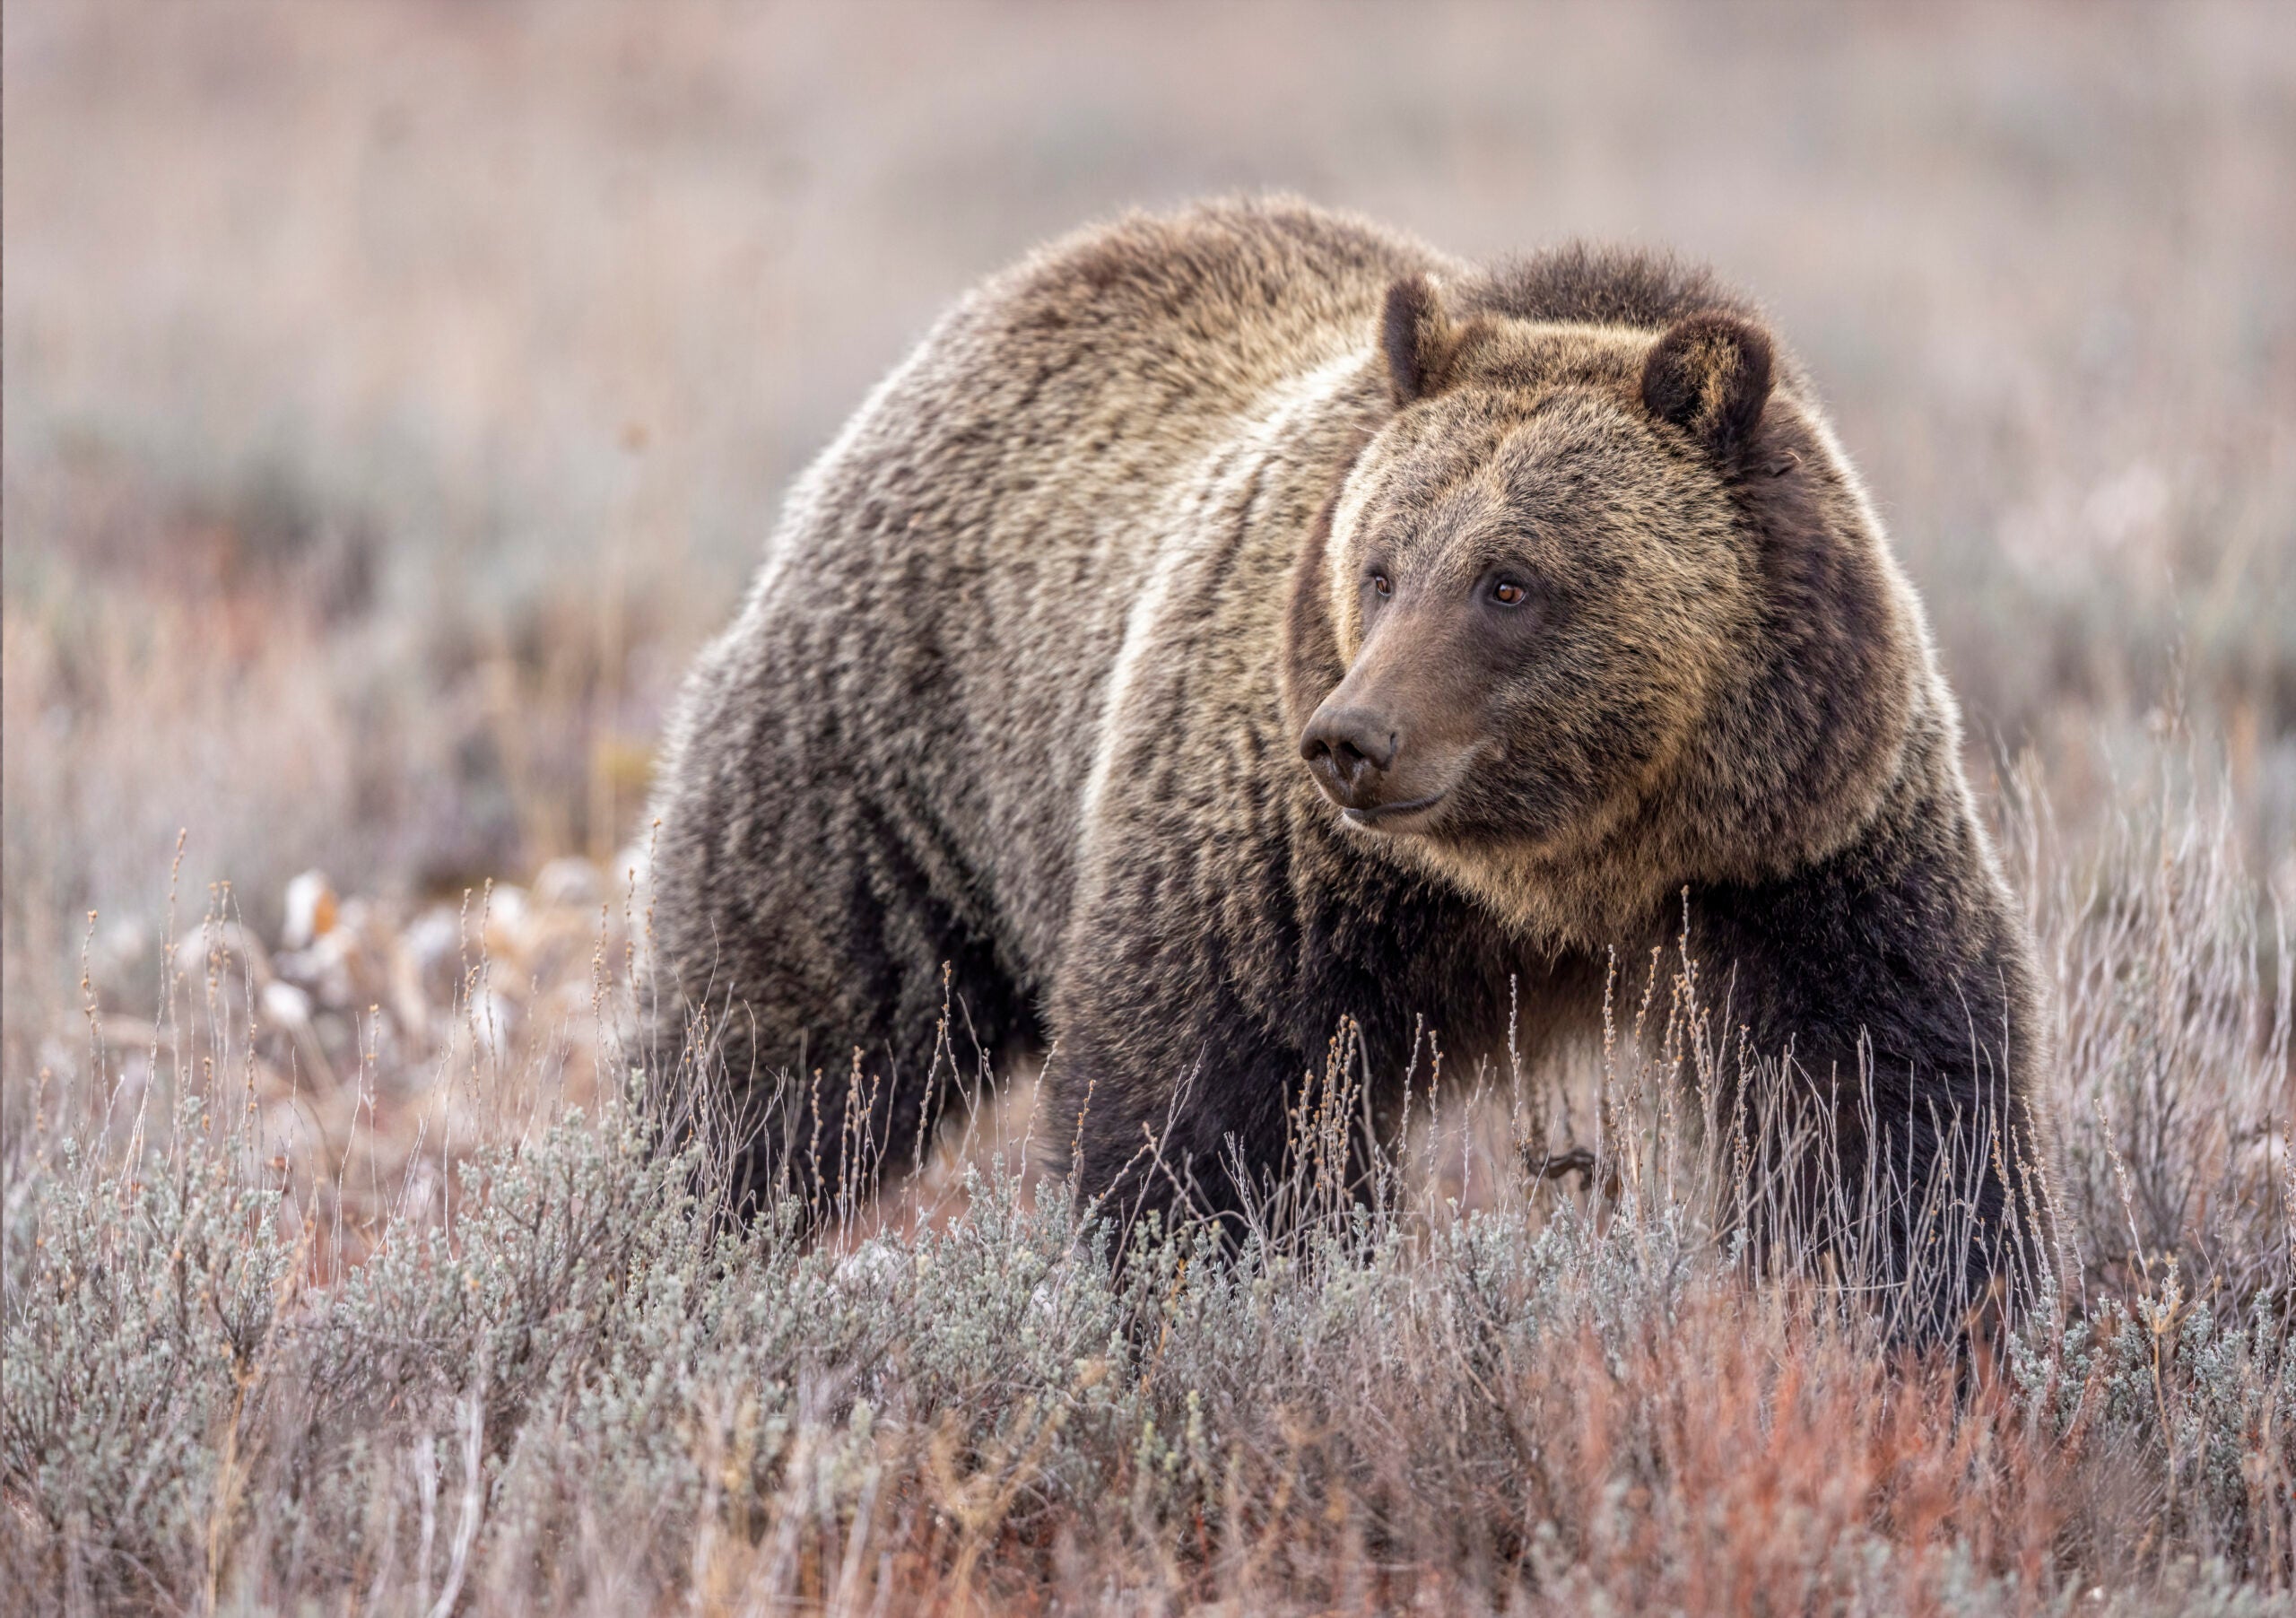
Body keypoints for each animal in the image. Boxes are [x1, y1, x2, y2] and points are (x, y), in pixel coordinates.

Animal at [647, 197, 2053, 1324]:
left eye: (1508, 581)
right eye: (1379, 567)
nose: (1351, 738)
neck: (1560, 875)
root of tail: (1015, 291)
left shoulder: (1800, 853)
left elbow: (1890, 1108)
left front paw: (1930, 1320)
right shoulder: (1275, 867)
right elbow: (1207, 1117)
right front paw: (1230, 1302)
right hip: (893, 764)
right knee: (782, 1044)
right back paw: (668, 1220)